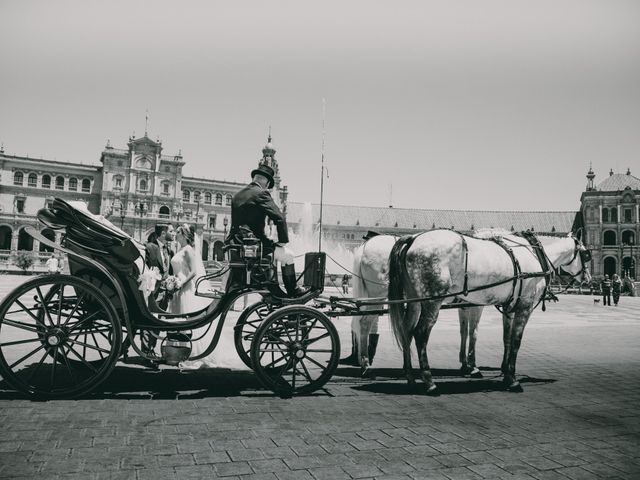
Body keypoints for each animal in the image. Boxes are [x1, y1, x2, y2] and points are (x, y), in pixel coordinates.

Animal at [342, 233, 482, 378]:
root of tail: (364, 247)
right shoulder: (476, 305)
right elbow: (473, 333)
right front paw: (473, 366)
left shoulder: (465, 306)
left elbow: (464, 331)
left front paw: (464, 363)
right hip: (377, 296)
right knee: (364, 324)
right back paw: (365, 365)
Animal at [384, 230, 592, 394]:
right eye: (587, 254)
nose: (589, 280)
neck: (534, 253)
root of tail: (413, 238)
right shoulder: (524, 306)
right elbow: (516, 341)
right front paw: (513, 380)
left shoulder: (510, 307)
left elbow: (506, 339)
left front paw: (505, 373)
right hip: (432, 301)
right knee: (420, 334)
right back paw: (429, 382)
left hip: (415, 302)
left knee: (406, 331)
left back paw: (410, 377)